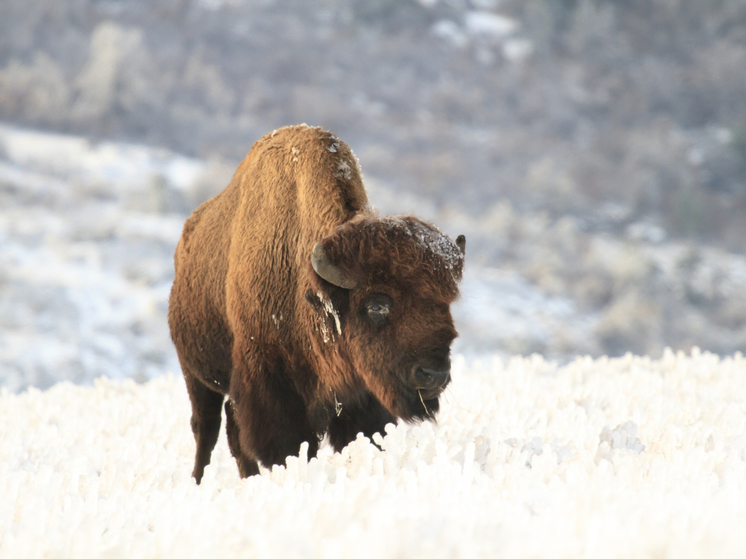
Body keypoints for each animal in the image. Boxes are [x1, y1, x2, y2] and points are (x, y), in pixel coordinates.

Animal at [167, 124, 464, 484]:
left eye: (445, 303)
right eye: (376, 306)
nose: (434, 374)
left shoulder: (359, 393)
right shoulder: (268, 384)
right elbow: (287, 446)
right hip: (196, 375)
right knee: (206, 428)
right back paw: (199, 481)